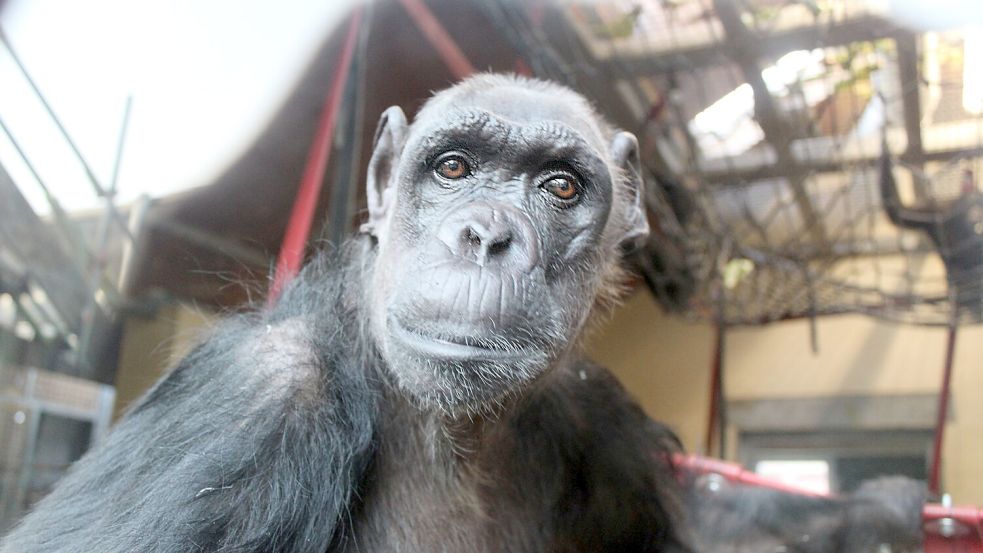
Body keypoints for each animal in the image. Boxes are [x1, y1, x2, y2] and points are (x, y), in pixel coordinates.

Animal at [1, 74, 692, 553]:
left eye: (561, 186)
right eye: (453, 167)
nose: (486, 236)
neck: (453, 435)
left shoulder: (611, 430)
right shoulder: (249, 404)